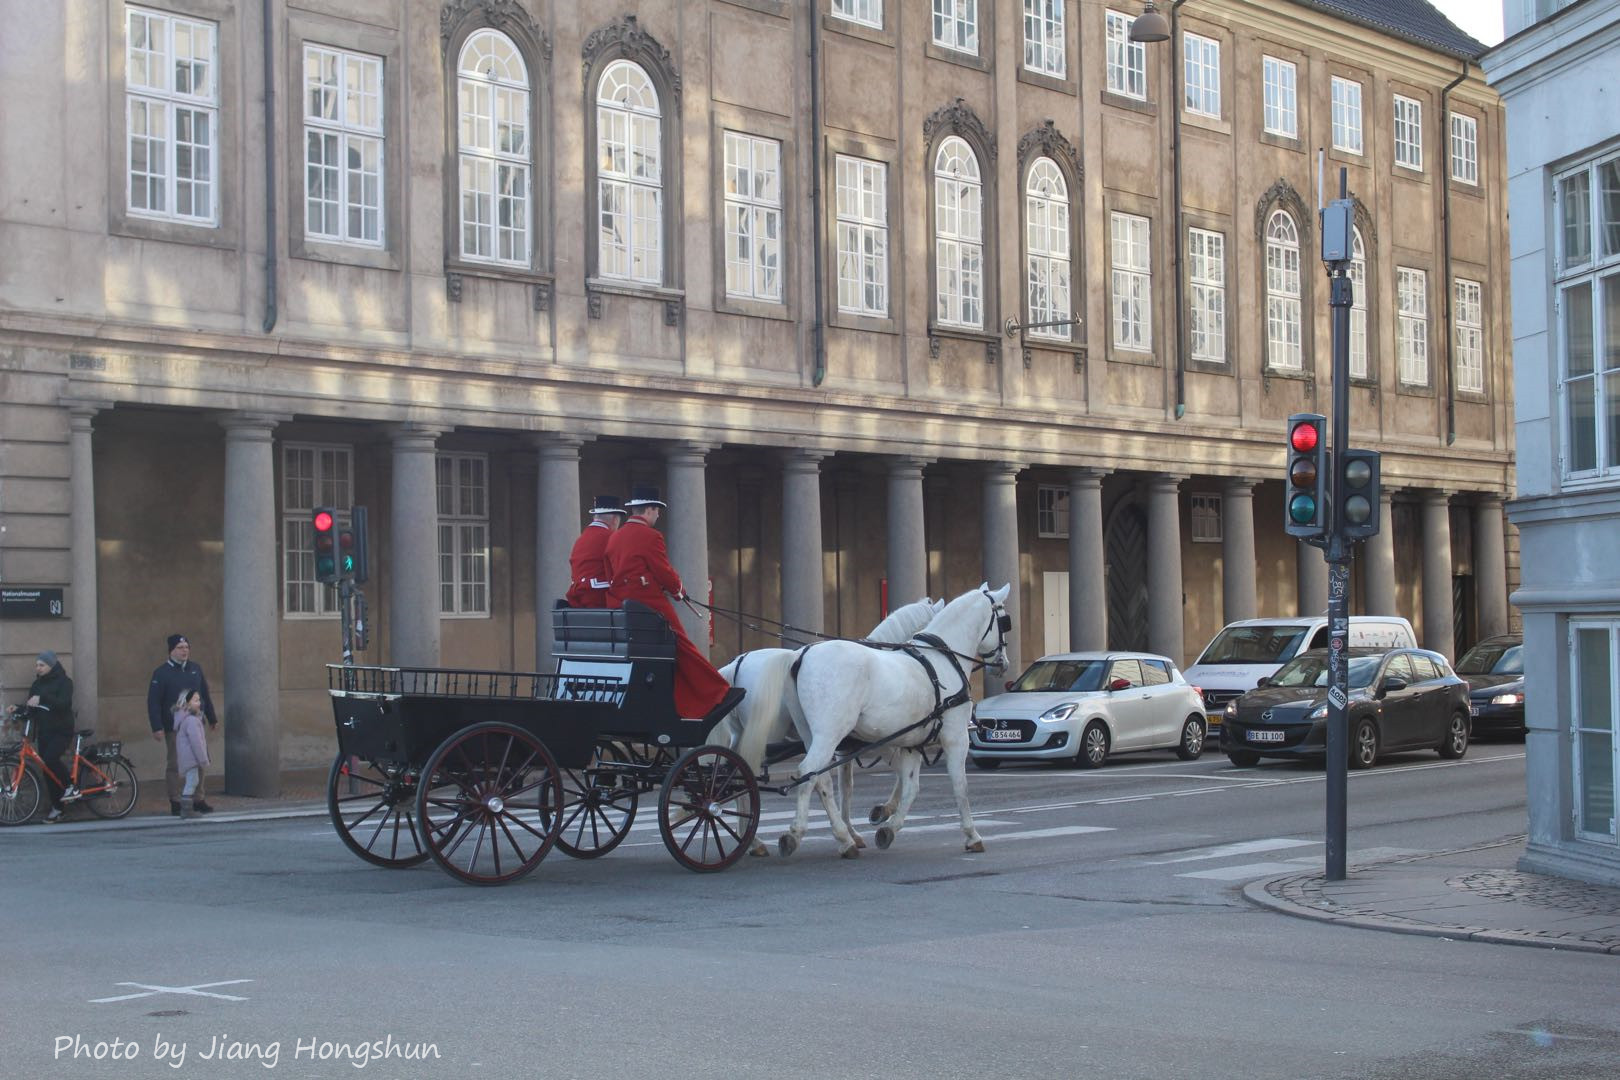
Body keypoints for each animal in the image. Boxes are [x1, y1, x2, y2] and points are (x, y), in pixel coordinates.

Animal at [774, 582, 1010, 861]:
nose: (1002, 664)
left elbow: (910, 786)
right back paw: (803, 833)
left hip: (811, 734)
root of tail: (803, 655)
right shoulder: (954, 738)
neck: (940, 662)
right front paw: (971, 834)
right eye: (1004, 620)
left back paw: (843, 838)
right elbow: (959, 785)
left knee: (820, 780)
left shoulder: (910, 741)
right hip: (829, 734)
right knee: (808, 772)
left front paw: (889, 826)